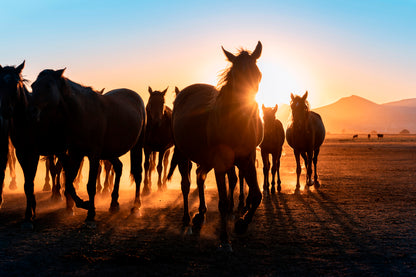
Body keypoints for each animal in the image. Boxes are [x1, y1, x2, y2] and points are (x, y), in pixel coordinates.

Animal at [0, 61, 68, 225]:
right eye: (0, 84)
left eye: (16, 83)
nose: (5, 111)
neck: (26, 121)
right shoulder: (22, 153)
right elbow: (28, 184)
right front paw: (30, 213)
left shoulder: (34, 153)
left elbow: (32, 180)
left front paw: (30, 215)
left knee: (59, 170)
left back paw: (62, 196)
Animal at [30, 68, 146, 222]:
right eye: (33, 86)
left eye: (48, 86)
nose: (32, 111)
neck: (82, 113)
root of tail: (136, 97)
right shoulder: (76, 153)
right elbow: (69, 182)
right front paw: (82, 204)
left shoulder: (93, 155)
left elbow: (90, 185)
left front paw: (91, 213)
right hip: (110, 152)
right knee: (119, 167)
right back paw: (114, 204)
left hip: (137, 146)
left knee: (137, 174)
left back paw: (136, 207)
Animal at [171, 41, 262, 250]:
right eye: (235, 77)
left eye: (258, 75)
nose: (248, 111)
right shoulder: (221, 163)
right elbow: (222, 202)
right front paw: (224, 238)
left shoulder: (247, 159)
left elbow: (256, 195)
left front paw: (242, 224)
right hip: (183, 154)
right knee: (186, 184)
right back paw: (187, 217)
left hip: (206, 158)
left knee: (200, 177)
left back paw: (200, 214)